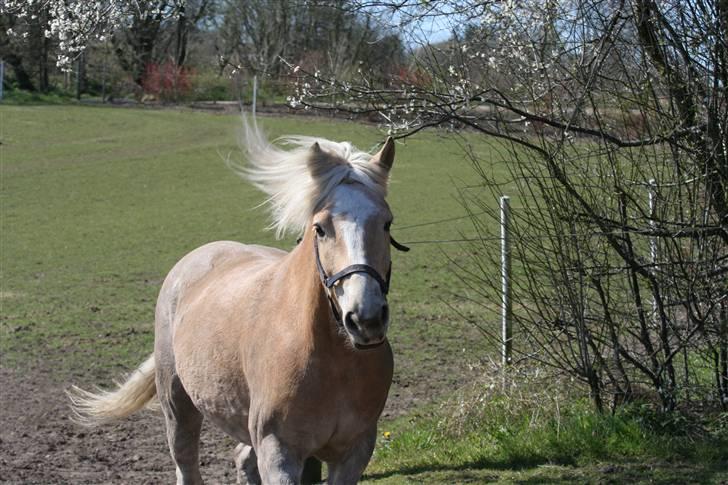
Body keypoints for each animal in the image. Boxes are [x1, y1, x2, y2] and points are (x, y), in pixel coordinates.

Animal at [68, 122, 406, 484]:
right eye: (320, 228)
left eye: (387, 222)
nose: (365, 318)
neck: (332, 360)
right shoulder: (278, 452)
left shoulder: (354, 452)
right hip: (178, 406)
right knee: (186, 464)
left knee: (242, 457)